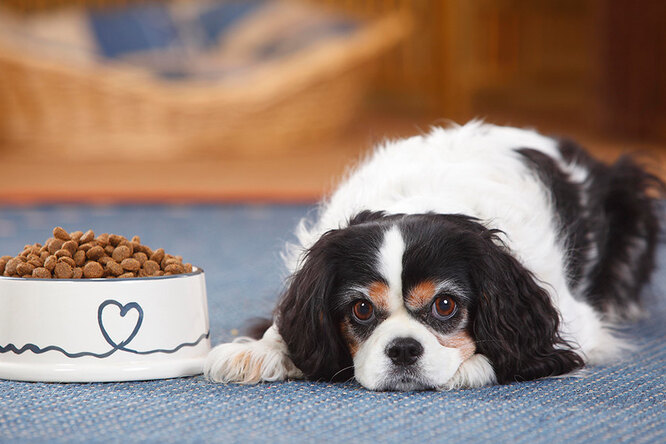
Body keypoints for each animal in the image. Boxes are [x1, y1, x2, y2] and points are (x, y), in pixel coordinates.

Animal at [204, 121, 660, 388]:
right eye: (361, 310)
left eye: (445, 305)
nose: (404, 349)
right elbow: (282, 325)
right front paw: (257, 351)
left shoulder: (575, 321)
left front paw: (471, 366)